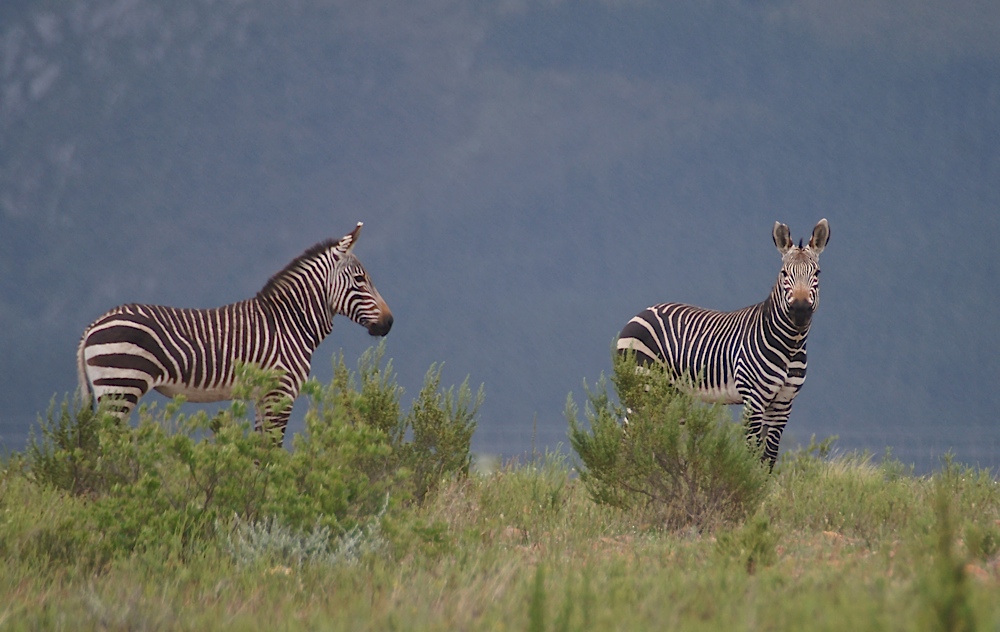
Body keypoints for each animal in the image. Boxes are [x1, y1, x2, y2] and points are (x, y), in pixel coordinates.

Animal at [78, 223, 392, 444]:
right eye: (360, 279)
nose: (389, 322)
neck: (288, 323)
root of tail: (92, 326)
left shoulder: (263, 395)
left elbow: (258, 451)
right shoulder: (281, 391)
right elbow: (272, 450)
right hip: (121, 385)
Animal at [616, 220, 828, 466]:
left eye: (817, 273)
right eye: (784, 273)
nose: (801, 310)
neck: (791, 343)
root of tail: (640, 313)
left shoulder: (783, 403)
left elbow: (768, 458)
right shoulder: (754, 398)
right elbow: (752, 455)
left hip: (671, 393)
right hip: (644, 383)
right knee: (628, 438)